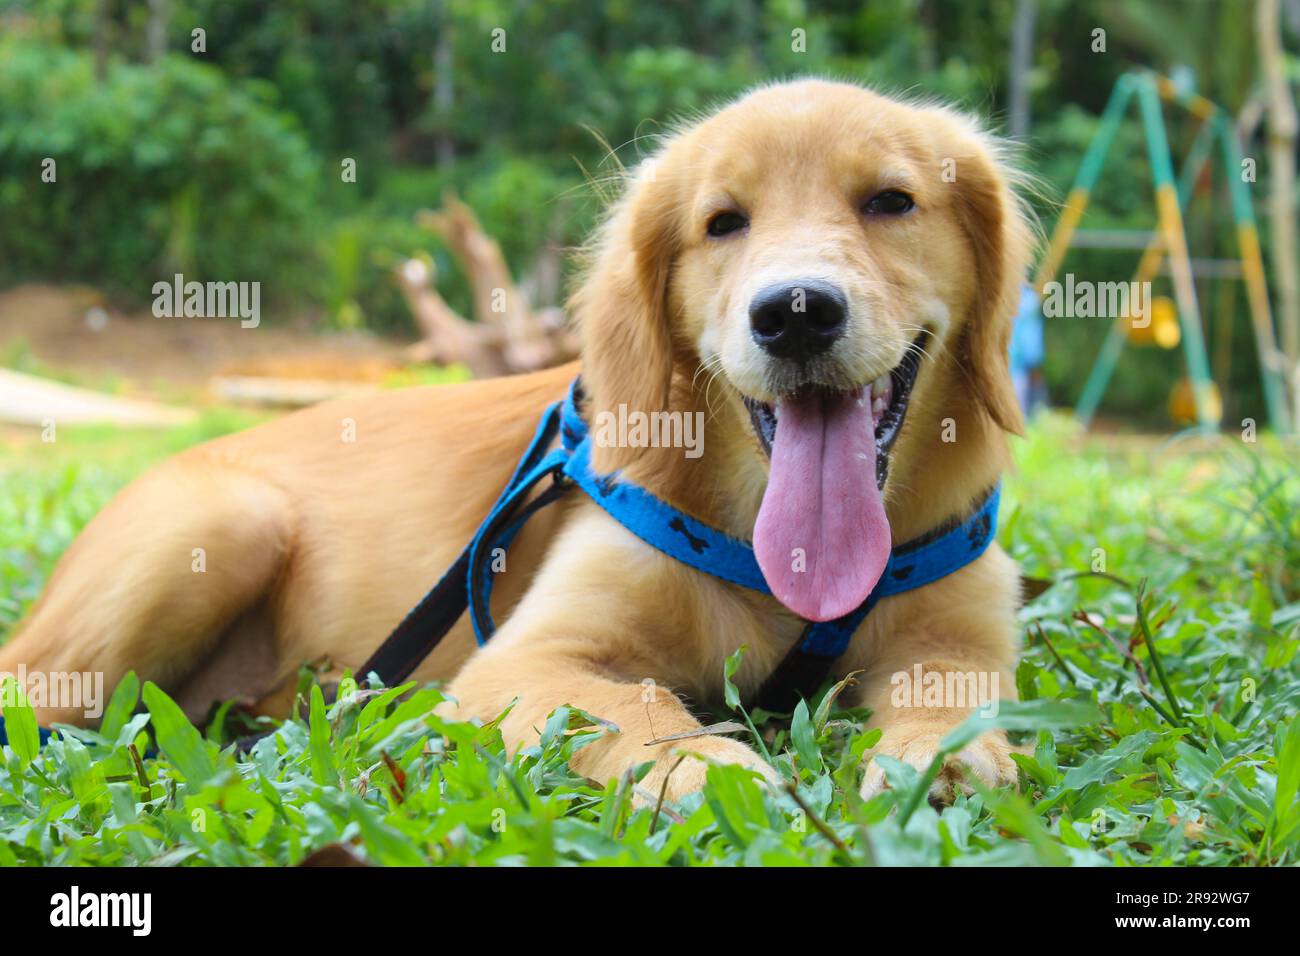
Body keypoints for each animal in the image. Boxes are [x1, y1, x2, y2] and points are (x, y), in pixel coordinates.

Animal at [2, 78, 1034, 806]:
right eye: (723, 224)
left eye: (891, 202)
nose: (795, 314)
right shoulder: (522, 662)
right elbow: (638, 709)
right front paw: (720, 778)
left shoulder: (963, 641)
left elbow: (952, 700)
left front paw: (937, 764)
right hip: (218, 524)